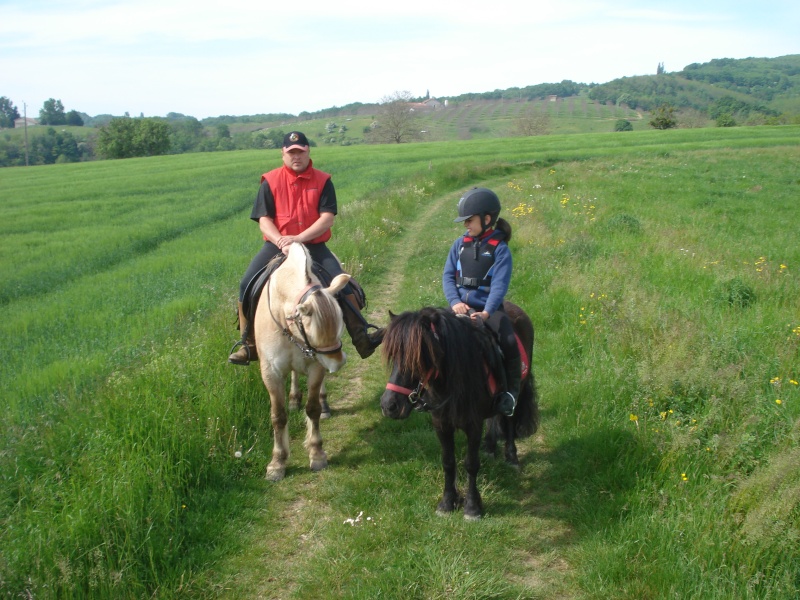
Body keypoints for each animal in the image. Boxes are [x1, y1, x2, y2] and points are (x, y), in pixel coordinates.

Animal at [252, 241, 348, 480]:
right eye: (312, 330)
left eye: (340, 322)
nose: (338, 362)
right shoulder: (270, 372)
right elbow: (278, 416)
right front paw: (277, 463)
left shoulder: (316, 365)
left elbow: (312, 409)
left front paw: (317, 454)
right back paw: (294, 398)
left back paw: (323, 405)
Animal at [380, 302, 536, 516]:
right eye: (394, 356)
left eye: (420, 356)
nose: (389, 406)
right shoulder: (441, 424)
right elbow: (448, 462)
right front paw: (447, 502)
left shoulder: (473, 425)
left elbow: (471, 464)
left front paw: (472, 507)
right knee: (493, 418)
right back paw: (489, 447)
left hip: (518, 388)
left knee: (510, 419)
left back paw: (512, 457)